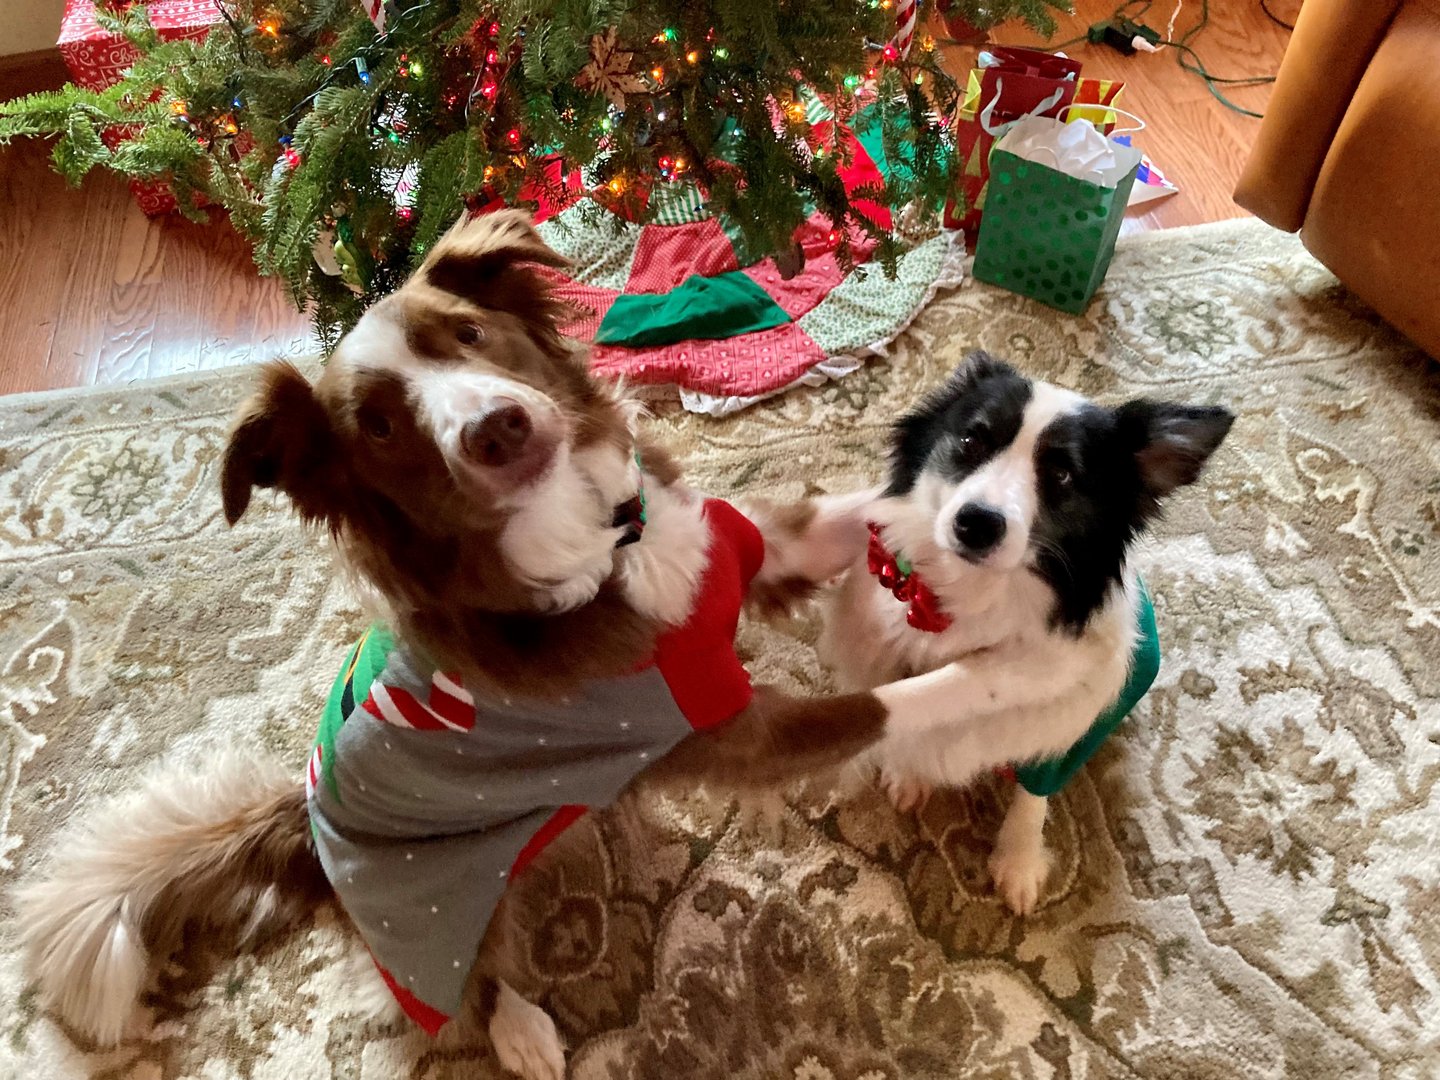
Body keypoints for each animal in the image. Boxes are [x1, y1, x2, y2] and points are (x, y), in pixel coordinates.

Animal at [14, 208, 956, 1077]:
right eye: (380, 429)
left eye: (469, 335)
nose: (495, 429)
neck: (606, 544)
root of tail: (305, 832)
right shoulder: (727, 732)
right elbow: (878, 707)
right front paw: (991, 687)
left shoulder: (746, 549)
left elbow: (850, 513)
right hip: (438, 906)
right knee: (470, 985)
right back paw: (525, 1033)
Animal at [817, 355, 1232, 915]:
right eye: (971, 440)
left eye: (1061, 473)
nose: (976, 523)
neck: (974, 595)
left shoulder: (1061, 715)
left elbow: (1026, 783)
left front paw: (1018, 863)